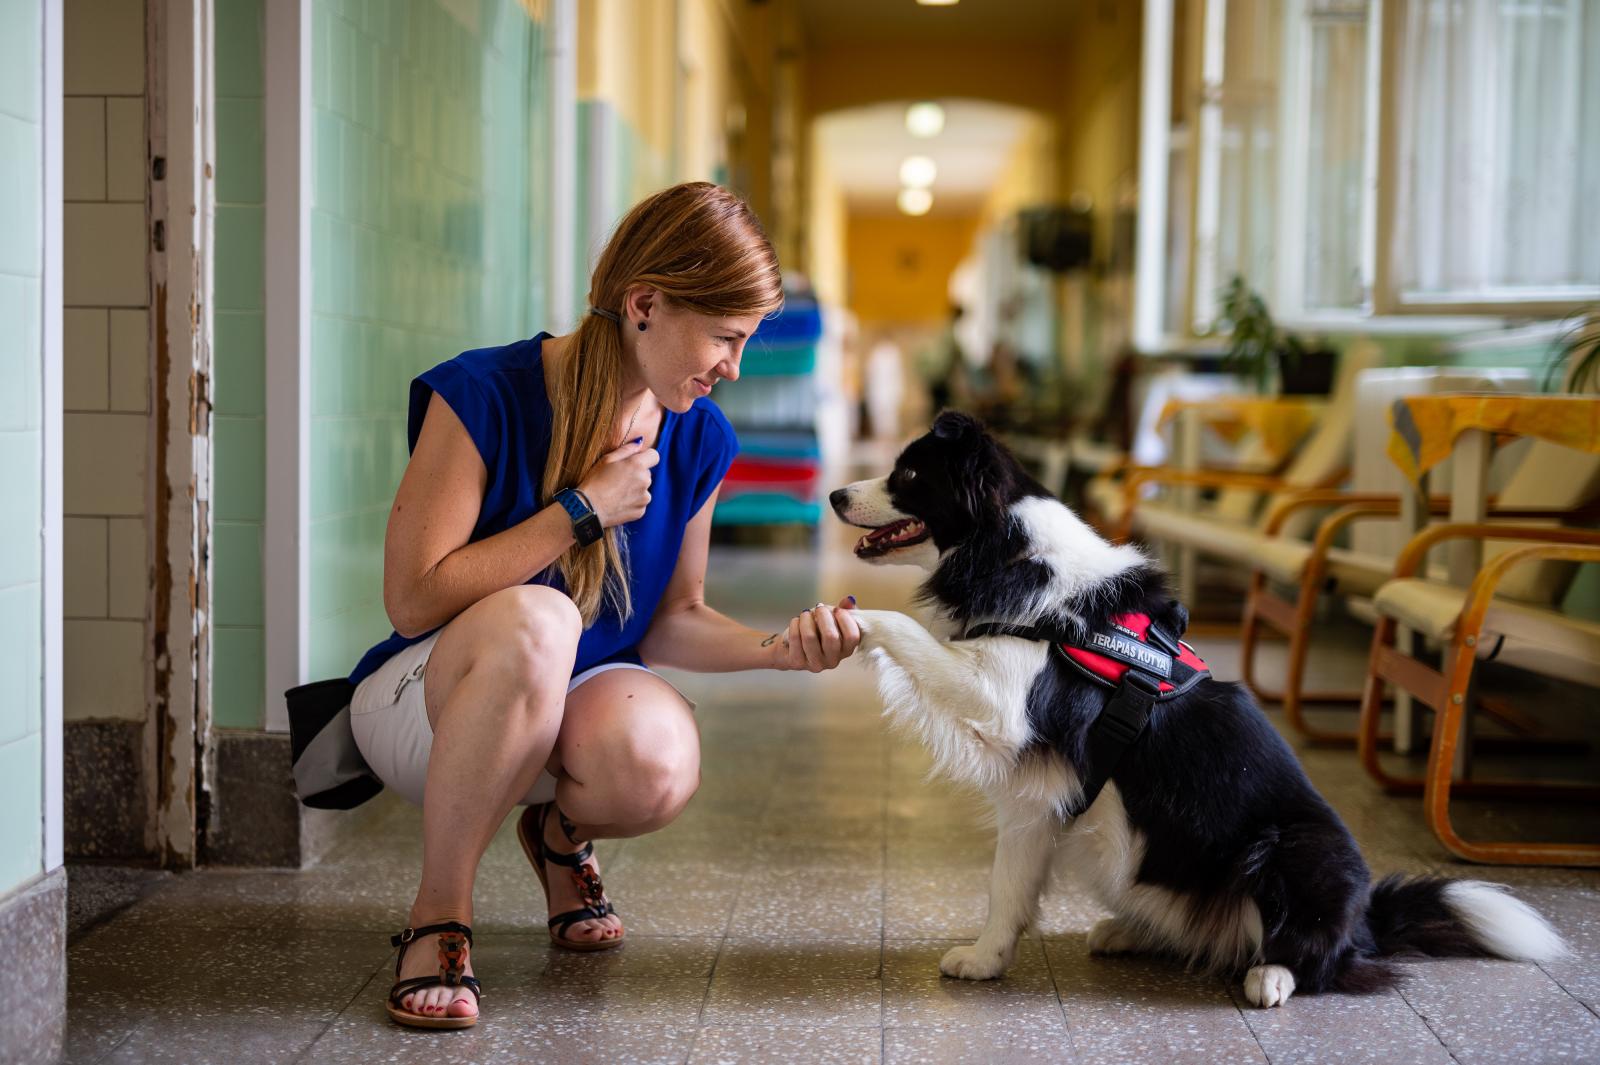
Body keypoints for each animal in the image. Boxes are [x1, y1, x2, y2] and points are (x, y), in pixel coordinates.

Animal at [832, 412, 1568, 1004]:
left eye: (908, 473)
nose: (837, 494)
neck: (1009, 549)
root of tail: (1366, 921)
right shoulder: (1040, 797)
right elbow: (1008, 886)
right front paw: (986, 960)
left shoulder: (1005, 699)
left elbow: (907, 630)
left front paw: (848, 621)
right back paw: (1132, 933)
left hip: (1294, 850)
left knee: (1320, 957)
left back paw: (1271, 975)